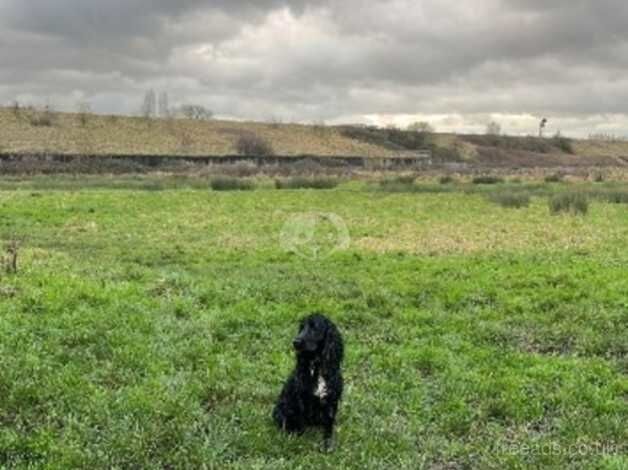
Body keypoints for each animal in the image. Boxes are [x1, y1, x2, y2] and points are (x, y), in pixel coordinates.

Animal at [274, 312, 346, 448]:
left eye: (314, 327)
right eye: (301, 328)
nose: (295, 342)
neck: (317, 367)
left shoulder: (331, 400)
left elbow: (329, 425)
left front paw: (328, 443)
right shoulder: (301, 399)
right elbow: (301, 423)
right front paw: (299, 439)